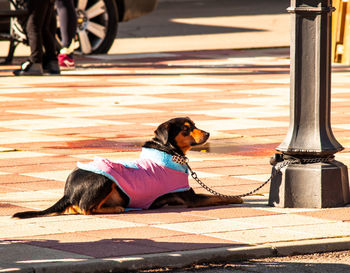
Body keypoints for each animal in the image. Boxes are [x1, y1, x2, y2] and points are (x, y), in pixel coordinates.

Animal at [13, 116, 243, 218]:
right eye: (187, 129)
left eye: (195, 125)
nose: (208, 134)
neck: (168, 150)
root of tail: (68, 191)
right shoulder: (190, 198)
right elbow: (216, 197)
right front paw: (237, 198)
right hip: (104, 180)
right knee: (85, 208)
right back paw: (115, 208)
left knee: (75, 208)